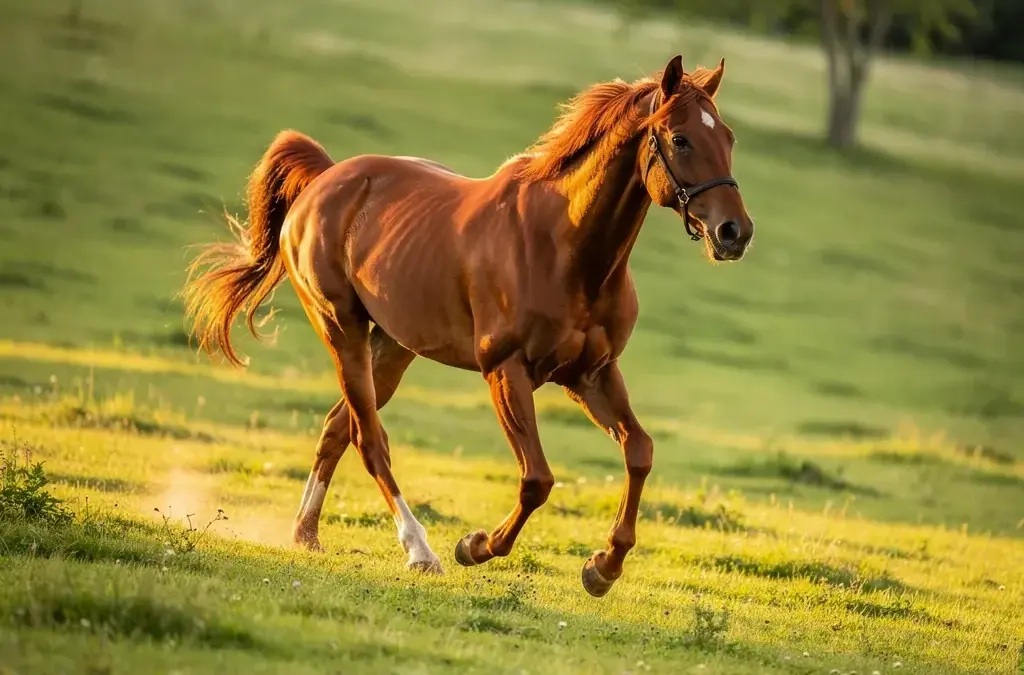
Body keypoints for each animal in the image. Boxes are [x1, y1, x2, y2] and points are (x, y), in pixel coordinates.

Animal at [183, 54, 754, 597]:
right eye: (680, 138)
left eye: (728, 137)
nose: (735, 232)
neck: (565, 247)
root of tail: (325, 179)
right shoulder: (507, 370)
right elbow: (537, 480)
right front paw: (476, 546)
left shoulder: (591, 374)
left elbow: (639, 452)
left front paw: (602, 568)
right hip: (341, 329)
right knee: (369, 439)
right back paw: (420, 551)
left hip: (393, 346)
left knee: (336, 428)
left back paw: (306, 534)